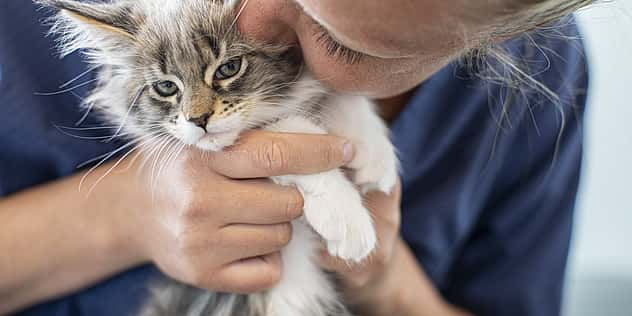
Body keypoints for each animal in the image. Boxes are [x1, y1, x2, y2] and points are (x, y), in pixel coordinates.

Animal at [37, 0, 398, 316]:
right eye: (166, 88)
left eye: (228, 69)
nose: (198, 119)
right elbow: (290, 126)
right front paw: (347, 217)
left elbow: (339, 94)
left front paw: (374, 154)